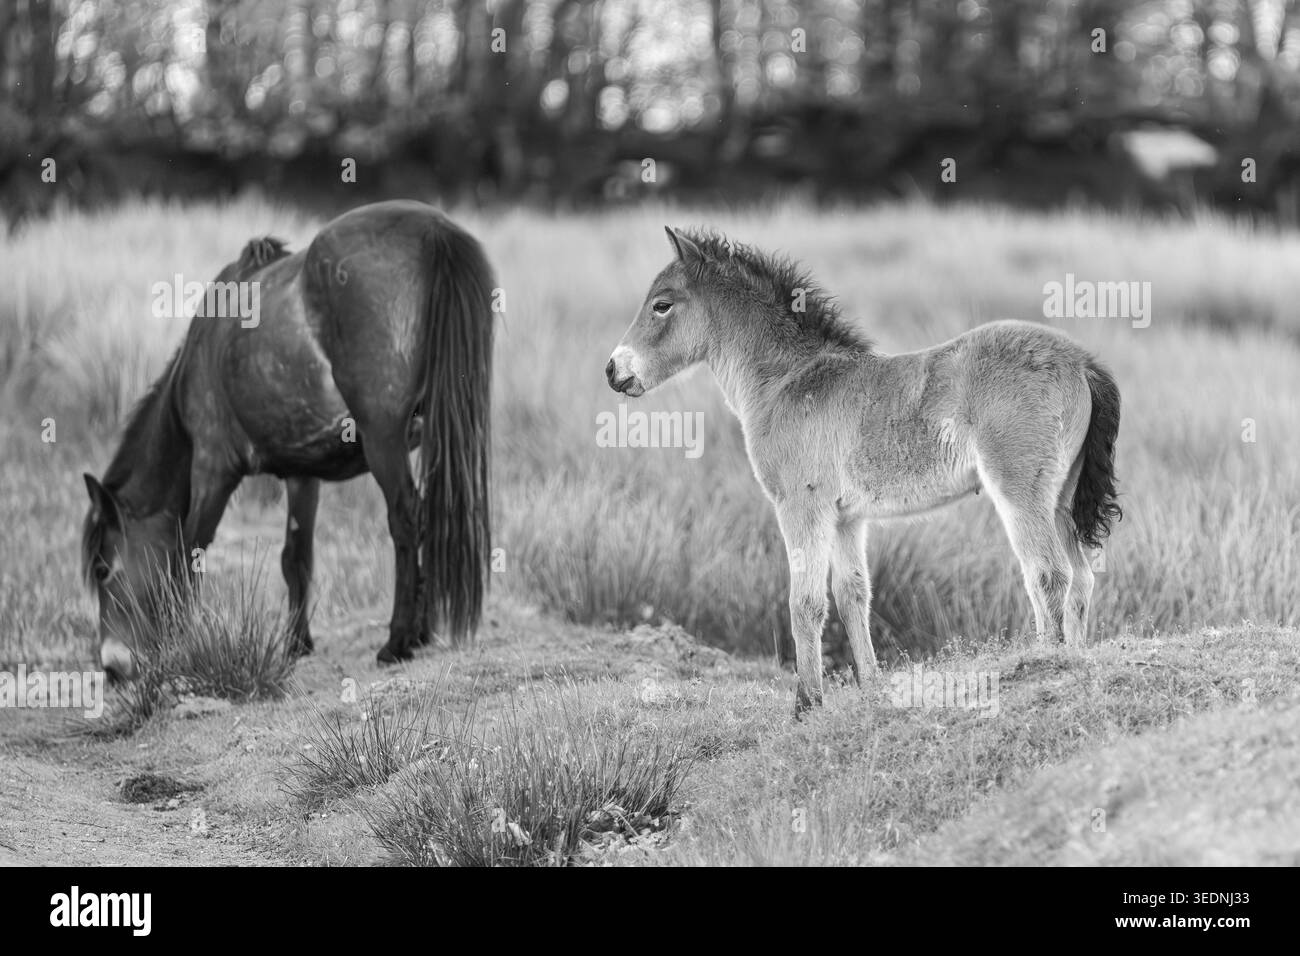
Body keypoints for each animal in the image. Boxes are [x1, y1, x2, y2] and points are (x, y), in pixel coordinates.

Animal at [81, 200, 494, 680]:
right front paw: (297, 643)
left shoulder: (212, 470)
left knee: (407, 518)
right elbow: (295, 556)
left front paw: (179, 646)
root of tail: (433, 229)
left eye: (102, 568)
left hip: (383, 440)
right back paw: (421, 631)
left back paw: (397, 641)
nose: (112, 665)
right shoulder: (302, 474)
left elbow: (189, 555)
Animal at [606, 227, 1122, 716]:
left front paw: (806, 704)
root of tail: (1081, 360)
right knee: (1081, 579)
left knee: (1047, 573)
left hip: (1020, 491)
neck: (788, 381)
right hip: (1061, 499)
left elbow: (805, 602)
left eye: (662, 305)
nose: (613, 370)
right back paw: (1074, 659)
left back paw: (1045, 664)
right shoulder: (847, 518)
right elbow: (853, 594)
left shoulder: (802, 506)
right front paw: (870, 688)